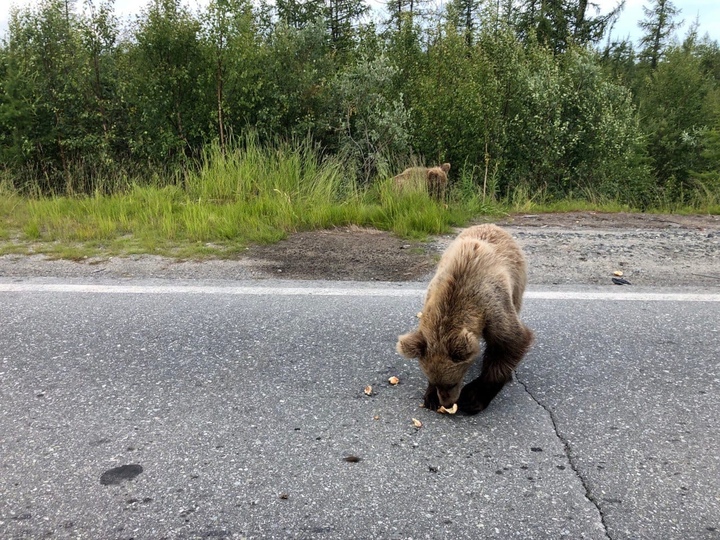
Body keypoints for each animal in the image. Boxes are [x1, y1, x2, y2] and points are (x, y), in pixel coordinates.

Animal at [396, 223, 532, 414]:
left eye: (452, 383)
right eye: (436, 382)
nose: (446, 403)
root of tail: (492, 225)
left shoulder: (493, 305)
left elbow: (511, 342)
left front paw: (473, 398)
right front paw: (430, 397)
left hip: (517, 284)